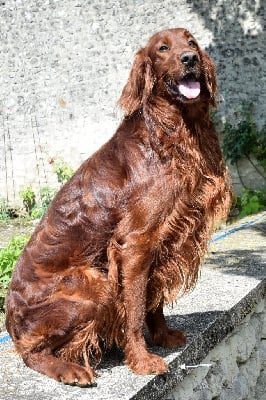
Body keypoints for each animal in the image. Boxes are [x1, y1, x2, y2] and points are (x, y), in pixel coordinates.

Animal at [5, 27, 231, 384]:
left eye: (191, 42)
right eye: (162, 48)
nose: (189, 59)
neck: (173, 130)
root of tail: (8, 322)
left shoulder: (161, 240)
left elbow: (152, 299)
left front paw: (163, 336)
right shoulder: (135, 243)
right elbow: (135, 310)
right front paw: (141, 360)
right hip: (94, 285)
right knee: (32, 354)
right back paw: (69, 369)